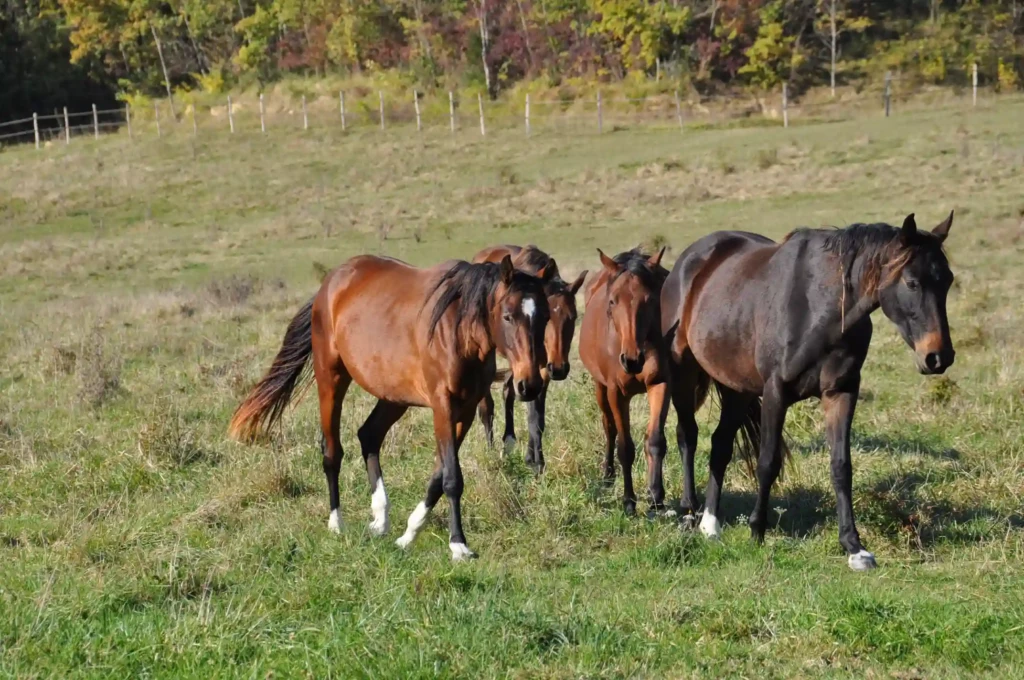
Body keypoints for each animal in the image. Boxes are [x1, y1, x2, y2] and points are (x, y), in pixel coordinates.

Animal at [229, 254, 552, 560]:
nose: (530, 385)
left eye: (546, 317)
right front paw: (458, 545)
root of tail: (329, 284)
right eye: (508, 316)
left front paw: (409, 534)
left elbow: (438, 477)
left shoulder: (467, 410)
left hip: (393, 396)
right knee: (331, 451)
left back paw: (380, 519)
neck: (458, 331)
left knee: (369, 435)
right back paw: (337, 524)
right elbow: (452, 478)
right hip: (331, 377)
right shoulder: (443, 407)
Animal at [472, 245, 587, 472]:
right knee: (488, 405)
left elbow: (536, 417)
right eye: (549, 317)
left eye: (573, 317)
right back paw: (492, 448)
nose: (559, 368)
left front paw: (535, 461)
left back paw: (508, 441)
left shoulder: (541, 369)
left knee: (508, 391)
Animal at [579, 248, 671, 516]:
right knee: (608, 427)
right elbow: (625, 447)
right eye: (612, 301)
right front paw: (629, 501)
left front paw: (656, 496)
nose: (632, 360)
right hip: (600, 388)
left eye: (650, 299)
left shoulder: (660, 384)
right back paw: (608, 474)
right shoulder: (616, 393)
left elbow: (655, 440)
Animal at [661, 212, 955, 570]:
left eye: (948, 281)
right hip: (684, 372)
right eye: (912, 282)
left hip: (736, 388)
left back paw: (710, 525)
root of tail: (690, 260)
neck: (820, 308)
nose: (939, 357)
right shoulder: (775, 392)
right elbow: (768, 462)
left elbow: (841, 467)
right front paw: (757, 531)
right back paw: (690, 514)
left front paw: (854, 546)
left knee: (720, 445)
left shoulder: (842, 392)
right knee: (687, 436)